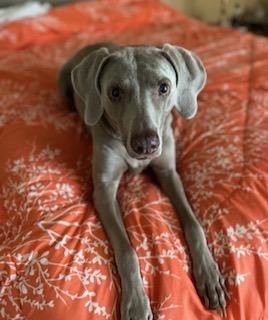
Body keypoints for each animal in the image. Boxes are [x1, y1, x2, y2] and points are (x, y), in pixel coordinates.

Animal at [57, 43, 229, 320]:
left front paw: (210, 275)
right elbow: (127, 250)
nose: (146, 144)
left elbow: (194, 225)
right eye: (114, 92)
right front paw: (136, 304)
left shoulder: (169, 172)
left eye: (164, 87)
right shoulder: (103, 191)